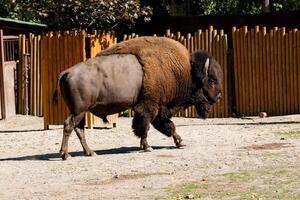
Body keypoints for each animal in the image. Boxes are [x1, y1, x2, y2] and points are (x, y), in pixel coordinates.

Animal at [54, 36, 223, 160]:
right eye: (212, 81)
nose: (219, 96)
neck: (185, 72)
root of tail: (66, 72)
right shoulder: (150, 107)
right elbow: (146, 126)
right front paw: (148, 147)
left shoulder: (158, 110)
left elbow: (166, 126)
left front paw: (179, 142)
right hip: (79, 110)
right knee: (69, 126)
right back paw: (65, 154)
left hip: (81, 111)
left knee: (79, 129)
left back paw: (90, 152)